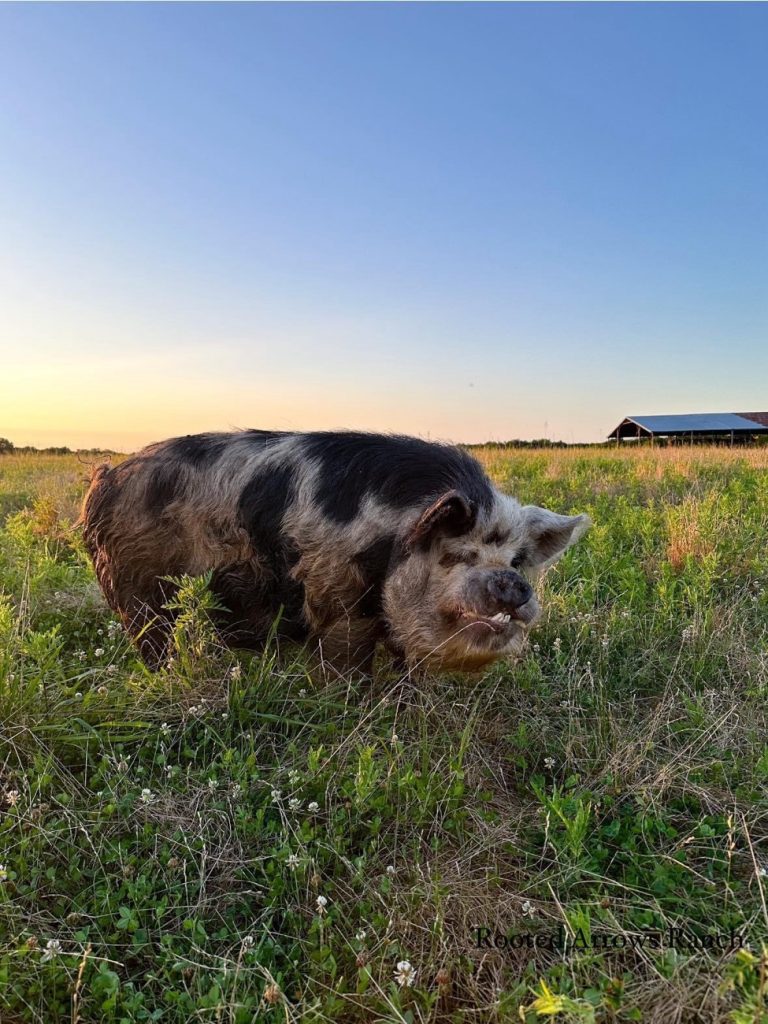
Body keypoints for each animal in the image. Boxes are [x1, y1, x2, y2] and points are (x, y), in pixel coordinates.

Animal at [81, 430, 590, 673]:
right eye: (456, 554)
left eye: (517, 560)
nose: (514, 585)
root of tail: (106, 480)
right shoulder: (336, 595)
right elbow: (348, 659)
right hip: (138, 585)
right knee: (153, 637)